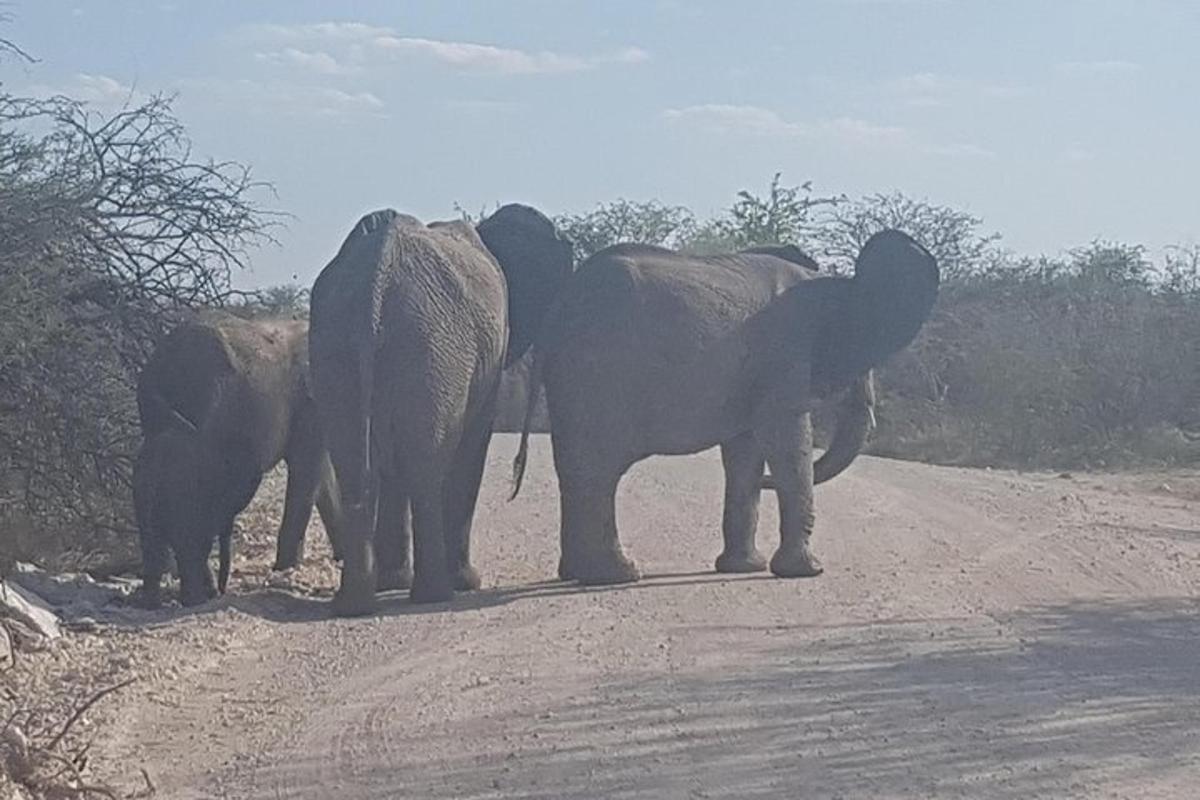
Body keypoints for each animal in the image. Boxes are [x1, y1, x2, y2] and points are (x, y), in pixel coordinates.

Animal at [307, 201, 573, 614]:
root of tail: (375, 279)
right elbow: (472, 448)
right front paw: (466, 583)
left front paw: (393, 582)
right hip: (434, 350)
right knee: (425, 464)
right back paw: (436, 593)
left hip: (338, 346)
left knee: (355, 463)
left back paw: (354, 603)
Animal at [506, 227, 936, 585]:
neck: (831, 284)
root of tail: (557, 308)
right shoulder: (786, 350)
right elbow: (786, 439)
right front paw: (806, 572)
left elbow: (745, 453)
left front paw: (745, 568)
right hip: (598, 373)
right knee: (598, 472)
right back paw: (617, 576)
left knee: (578, 472)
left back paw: (577, 575)